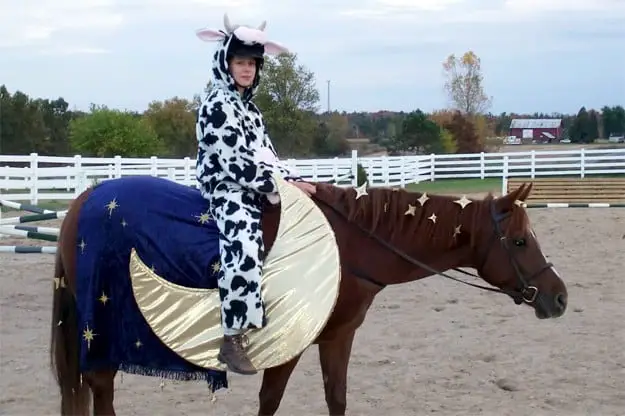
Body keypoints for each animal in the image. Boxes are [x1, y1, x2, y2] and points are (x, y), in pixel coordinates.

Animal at [48, 174, 564, 414]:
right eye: (520, 241)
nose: (558, 297)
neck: (345, 244)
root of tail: (84, 202)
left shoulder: (337, 337)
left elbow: (336, 397)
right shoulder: (288, 346)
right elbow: (270, 402)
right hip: (102, 330)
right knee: (102, 389)